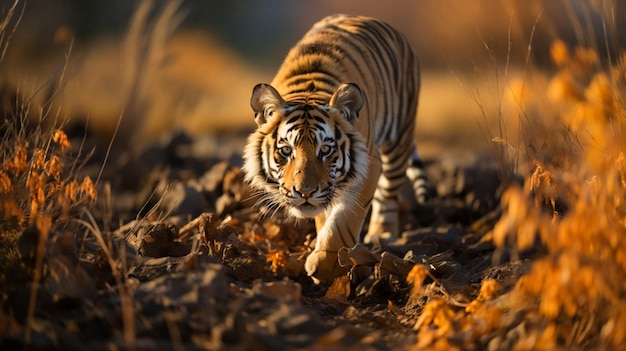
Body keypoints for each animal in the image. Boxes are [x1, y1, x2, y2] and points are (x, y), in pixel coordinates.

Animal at [241, 14, 426, 286]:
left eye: (326, 150)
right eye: (286, 151)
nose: (305, 192)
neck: (309, 91)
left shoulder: (368, 167)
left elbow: (345, 220)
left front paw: (324, 263)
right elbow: (324, 213)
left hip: (399, 138)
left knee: (388, 195)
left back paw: (382, 234)